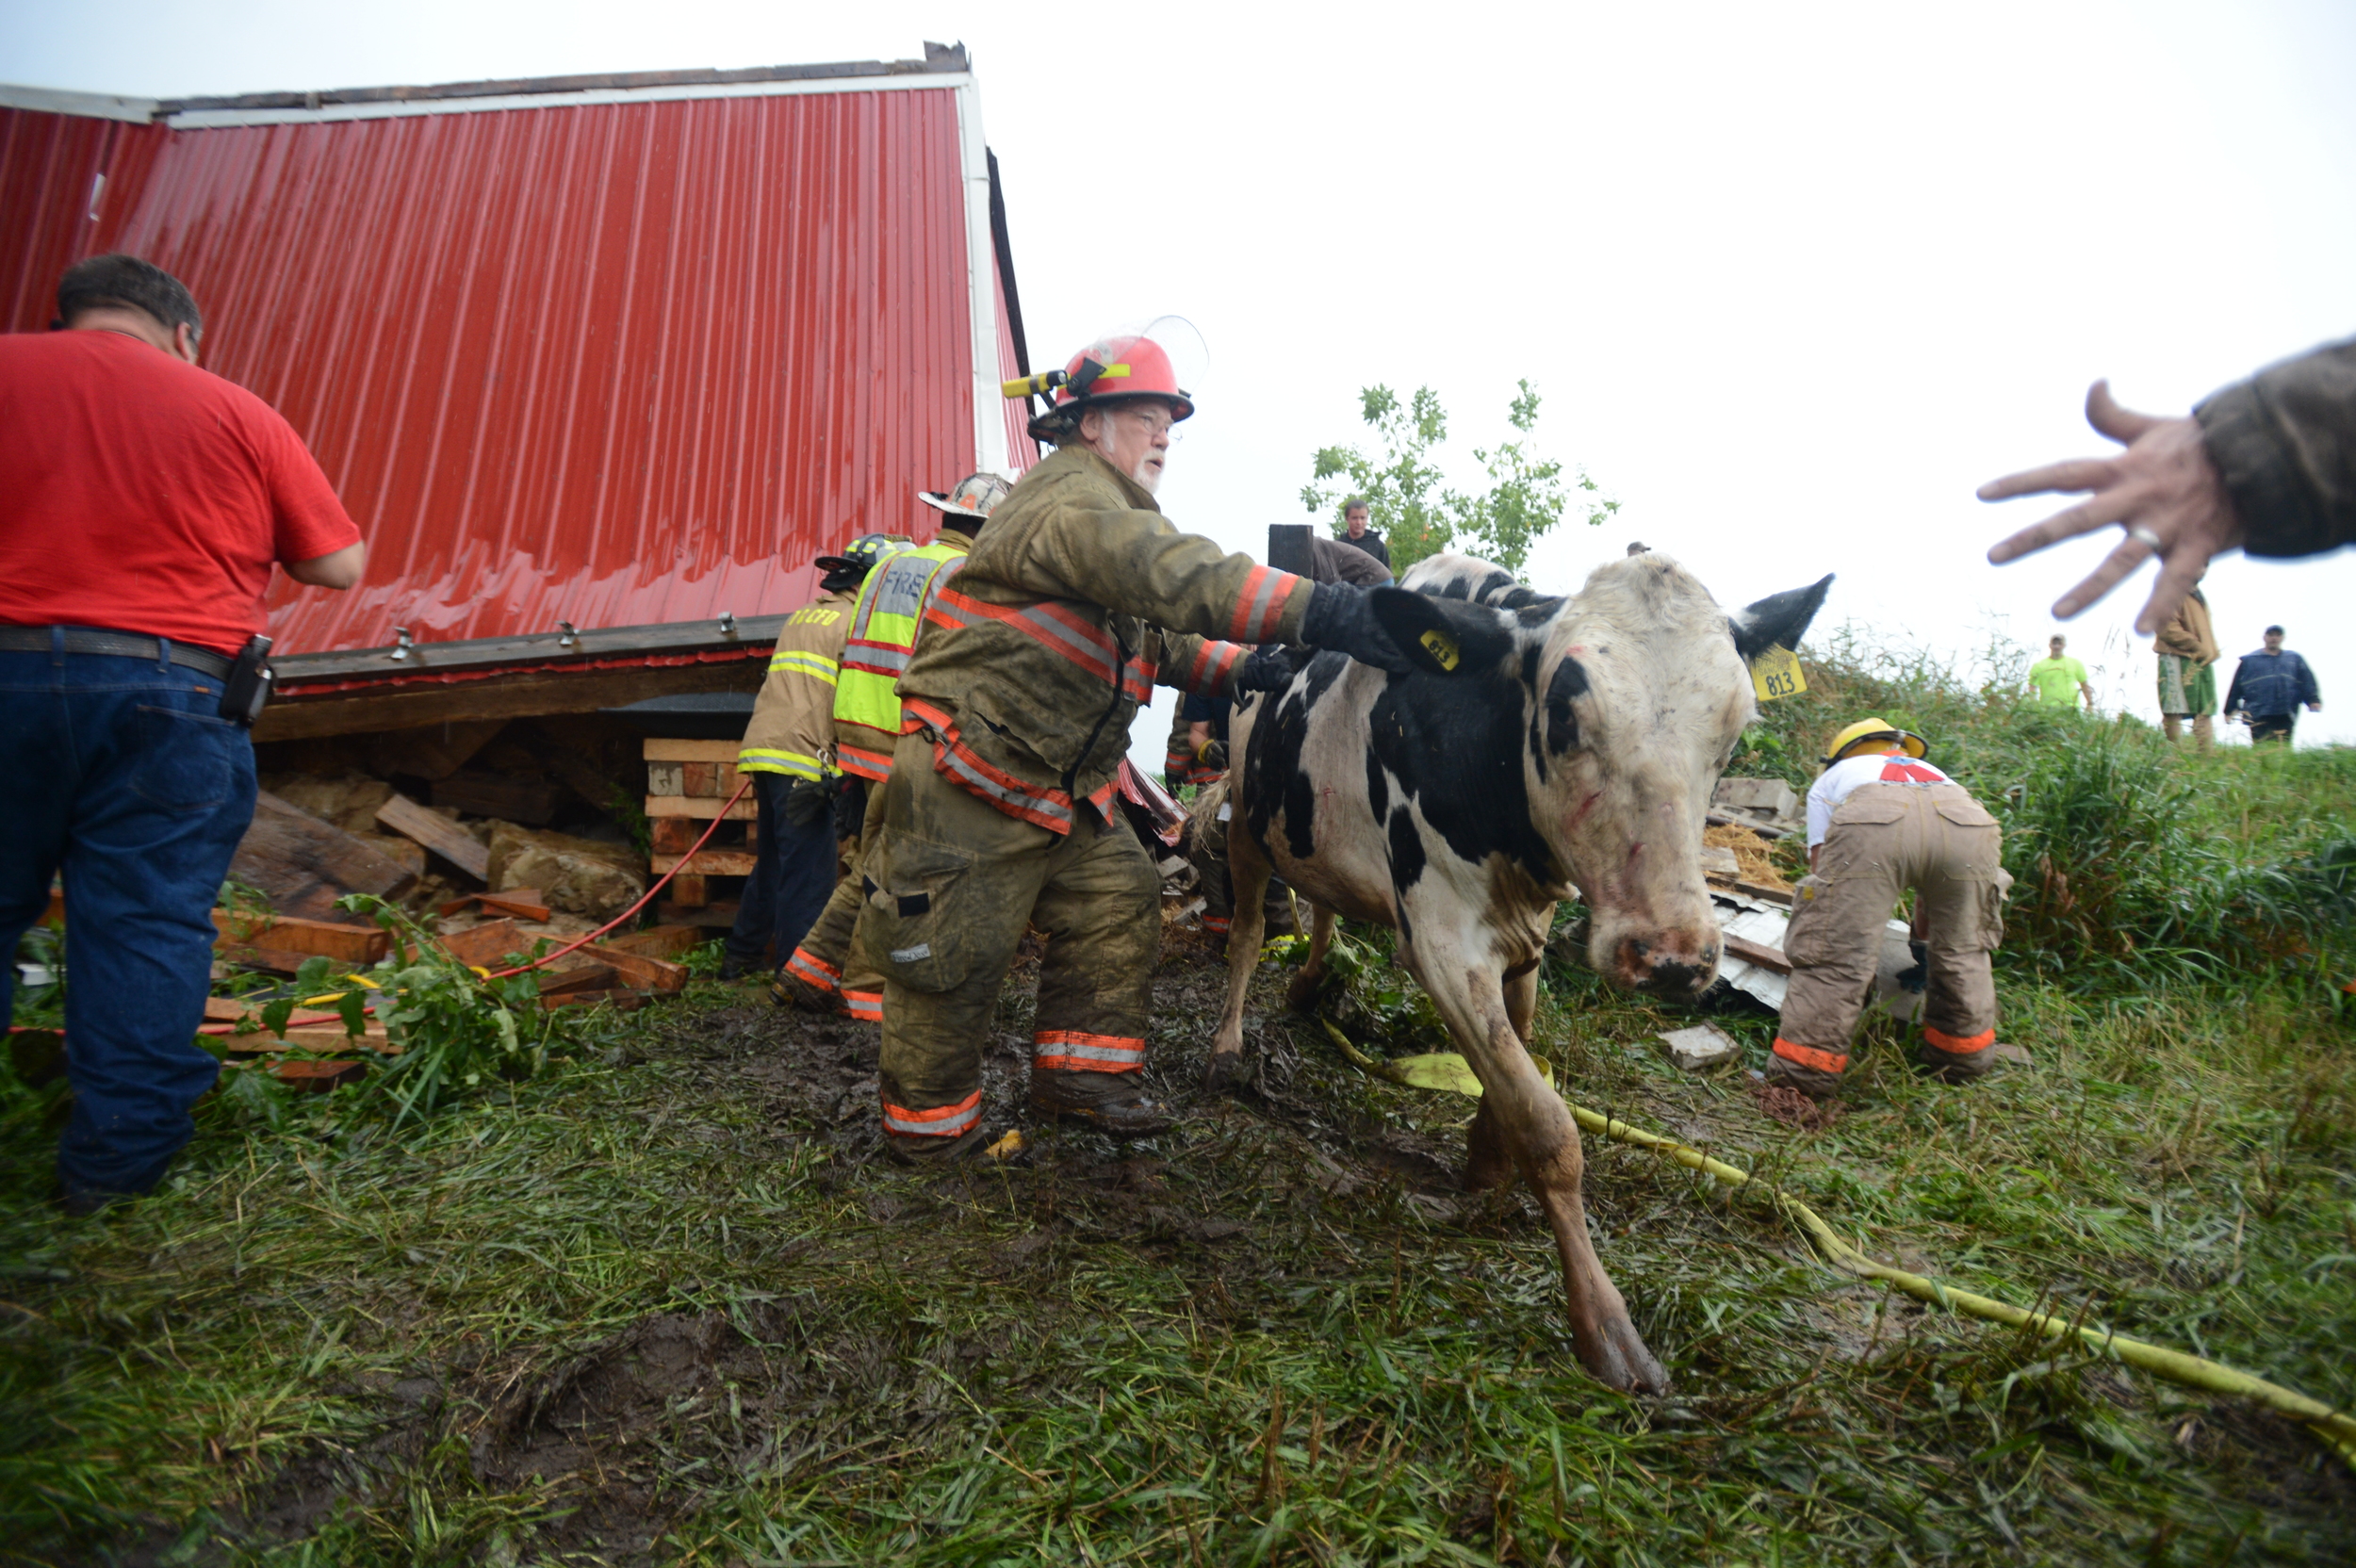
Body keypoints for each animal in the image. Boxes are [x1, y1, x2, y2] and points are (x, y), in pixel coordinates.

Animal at [1206, 548, 1828, 1394]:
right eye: (1564, 717)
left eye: (1735, 730)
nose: (1671, 955)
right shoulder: (1442, 941)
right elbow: (1549, 1126)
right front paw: (1606, 1328)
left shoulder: (1522, 936)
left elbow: (1516, 1061)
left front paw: (1482, 1160)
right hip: (1246, 815)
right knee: (1243, 933)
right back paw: (1228, 1041)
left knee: (1324, 903)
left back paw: (1307, 988)